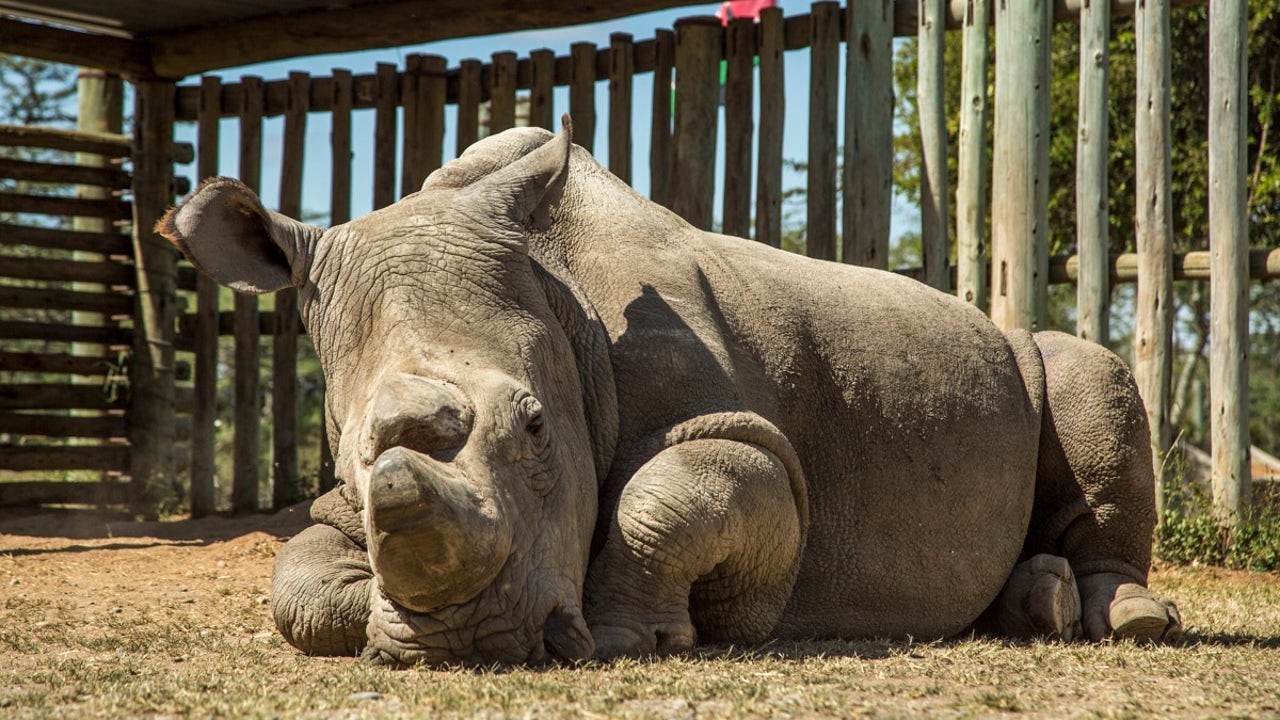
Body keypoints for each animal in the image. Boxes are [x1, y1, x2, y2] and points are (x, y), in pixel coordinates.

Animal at [160, 118, 1181, 666]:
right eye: (346, 454)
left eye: (538, 427)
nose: (474, 641)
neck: (558, 297)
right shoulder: (345, 502)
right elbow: (297, 580)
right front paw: (377, 619)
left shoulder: (750, 439)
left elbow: (672, 494)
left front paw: (629, 640)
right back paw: (1036, 610)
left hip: (1028, 356)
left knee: (1084, 370)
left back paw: (1125, 620)